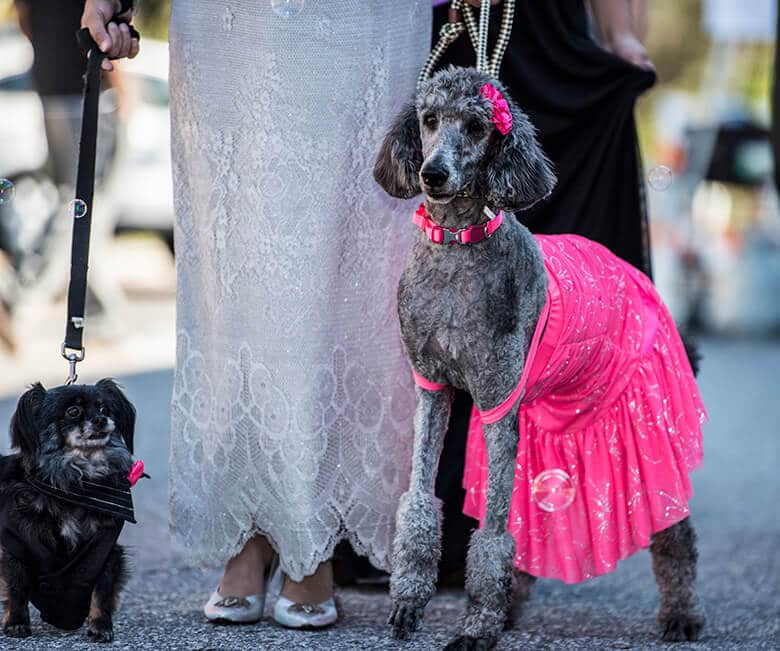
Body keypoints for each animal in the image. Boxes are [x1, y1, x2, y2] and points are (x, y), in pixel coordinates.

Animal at [0, 380, 138, 644]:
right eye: (73, 412)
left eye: (105, 409)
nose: (100, 420)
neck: (75, 481)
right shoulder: (16, 547)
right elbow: (16, 587)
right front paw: (16, 623)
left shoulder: (105, 551)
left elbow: (102, 592)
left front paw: (100, 626)